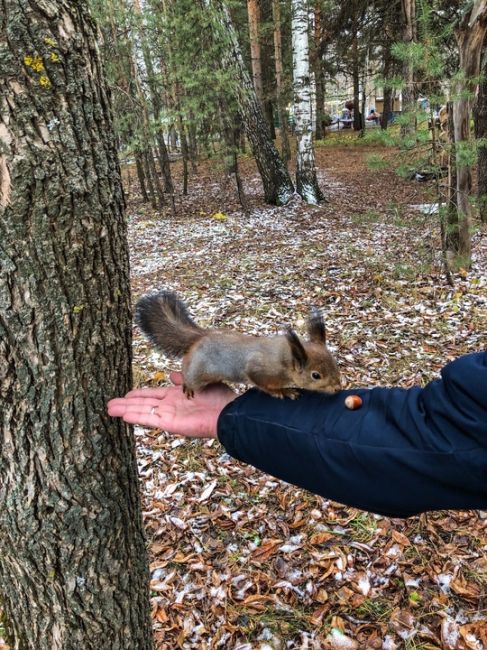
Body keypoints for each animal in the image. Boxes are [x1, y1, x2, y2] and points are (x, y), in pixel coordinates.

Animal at [136, 290, 344, 400]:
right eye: (316, 375)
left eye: (335, 364)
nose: (337, 389)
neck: (283, 359)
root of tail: (200, 337)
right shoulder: (259, 370)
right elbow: (262, 384)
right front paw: (283, 391)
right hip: (197, 372)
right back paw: (187, 385)